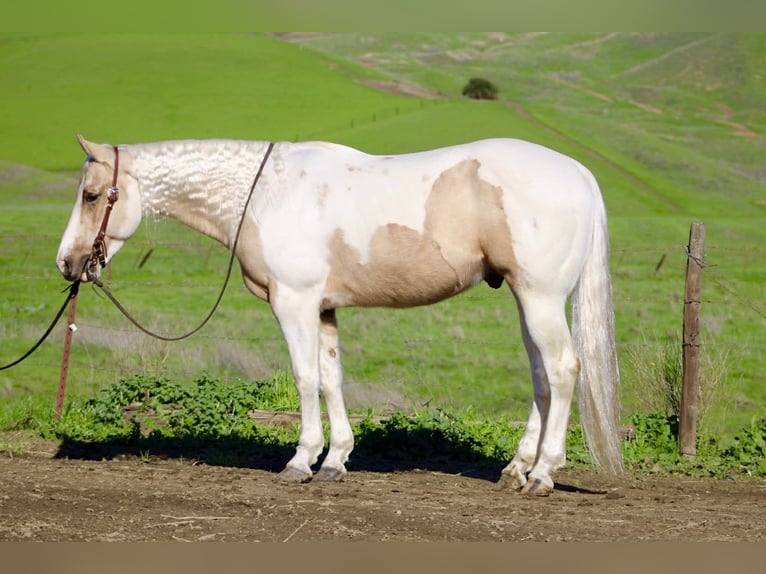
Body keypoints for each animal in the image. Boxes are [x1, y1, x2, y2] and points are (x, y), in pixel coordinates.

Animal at [57, 135, 623, 495]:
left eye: (91, 195)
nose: (67, 263)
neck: (266, 193)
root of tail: (578, 173)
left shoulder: (295, 303)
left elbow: (305, 378)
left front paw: (300, 460)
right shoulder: (324, 309)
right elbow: (331, 380)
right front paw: (334, 461)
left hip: (541, 298)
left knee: (563, 371)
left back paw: (544, 474)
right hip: (529, 300)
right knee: (542, 377)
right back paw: (516, 469)